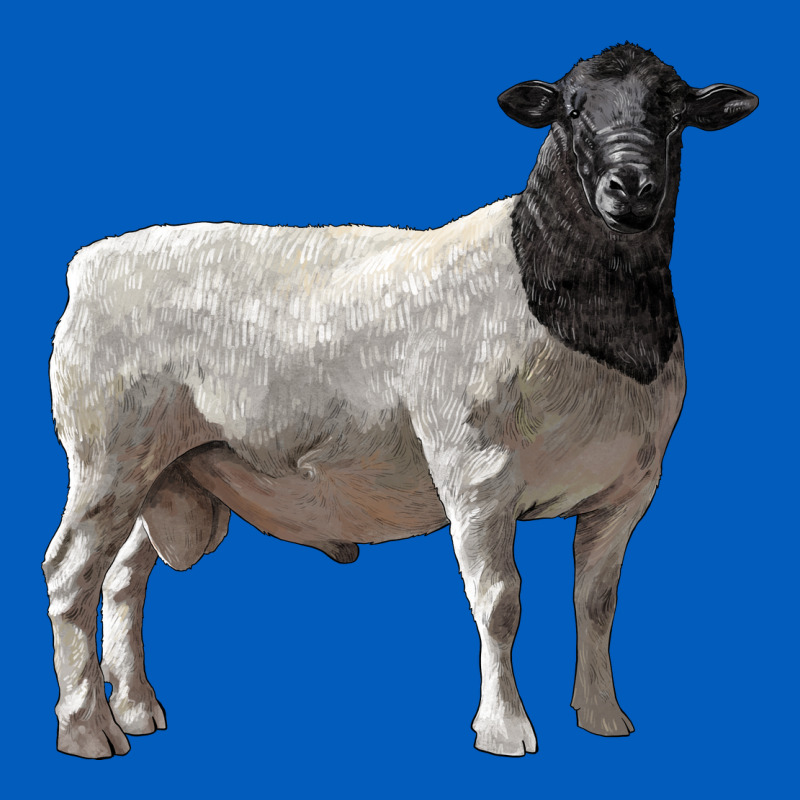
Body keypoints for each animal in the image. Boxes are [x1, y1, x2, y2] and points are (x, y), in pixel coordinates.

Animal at [44, 43, 757, 759]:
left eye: (674, 113)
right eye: (573, 111)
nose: (631, 186)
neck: (592, 322)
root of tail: (92, 262)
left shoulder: (628, 489)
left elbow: (596, 601)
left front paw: (604, 715)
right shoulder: (476, 473)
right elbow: (500, 603)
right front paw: (505, 728)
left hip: (166, 470)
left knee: (123, 579)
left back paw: (136, 707)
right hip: (106, 458)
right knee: (69, 577)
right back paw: (88, 729)